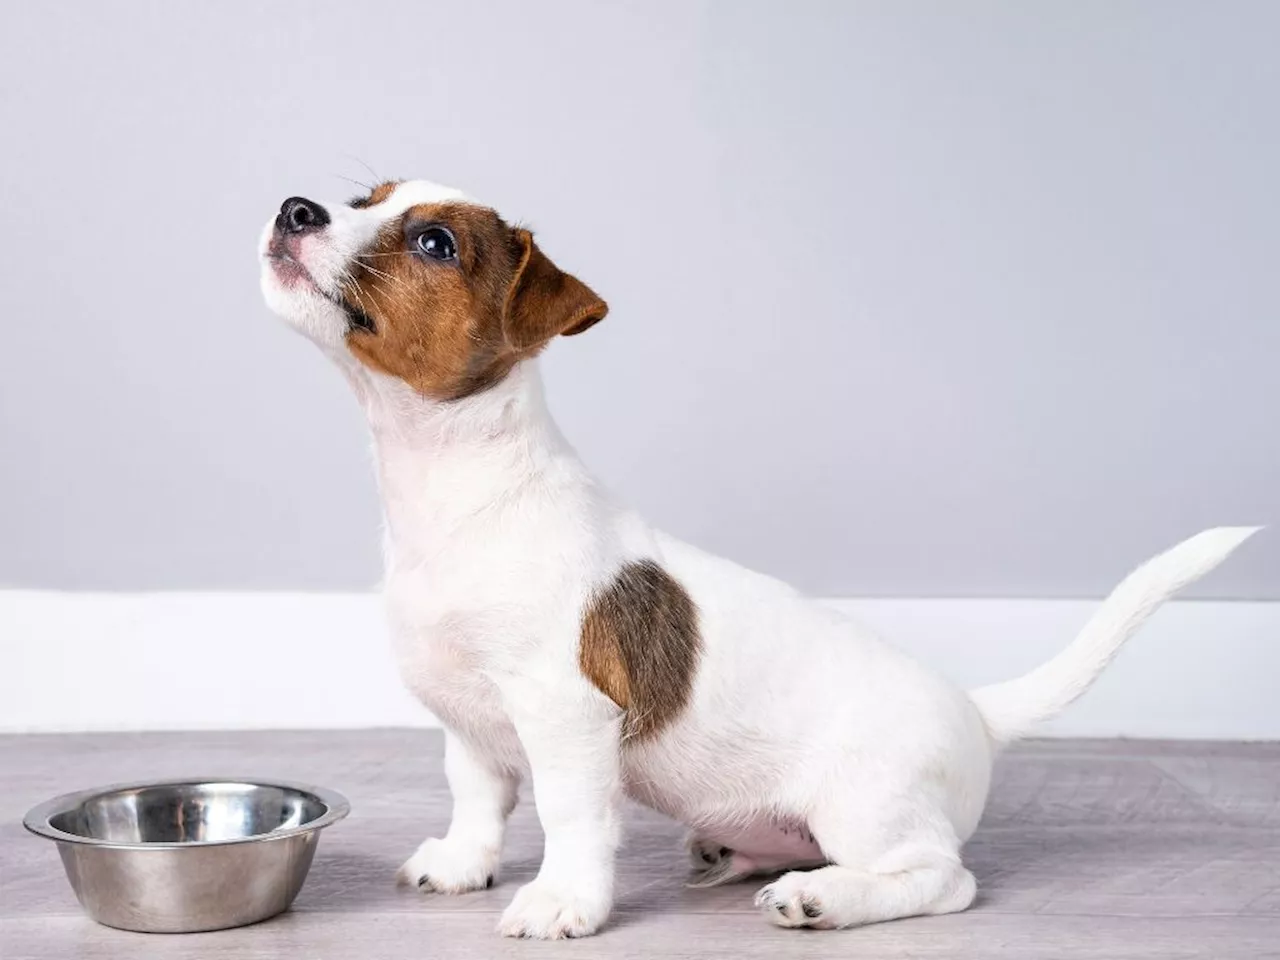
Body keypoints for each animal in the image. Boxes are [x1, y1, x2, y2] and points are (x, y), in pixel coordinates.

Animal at [257, 179, 1249, 942]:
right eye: (364, 199)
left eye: (434, 242)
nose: (296, 208)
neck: (455, 486)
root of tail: (975, 711)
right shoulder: (468, 721)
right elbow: (477, 798)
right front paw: (463, 866)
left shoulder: (566, 716)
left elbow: (571, 815)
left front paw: (564, 904)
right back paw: (729, 852)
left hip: (866, 806)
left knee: (942, 878)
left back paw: (822, 898)